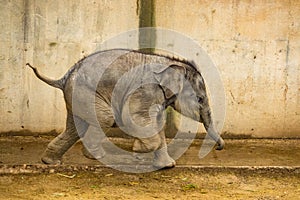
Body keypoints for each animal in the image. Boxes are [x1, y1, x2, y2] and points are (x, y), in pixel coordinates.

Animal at [27, 48, 225, 169]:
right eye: (200, 99)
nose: (219, 148)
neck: (172, 63)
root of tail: (64, 77)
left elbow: (157, 124)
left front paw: (167, 166)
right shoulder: (145, 90)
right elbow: (134, 118)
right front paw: (137, 149)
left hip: (77, 97)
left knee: (75, 128)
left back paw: (51, 162)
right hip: (85, 92)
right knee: (105, 118)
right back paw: (100, 158)